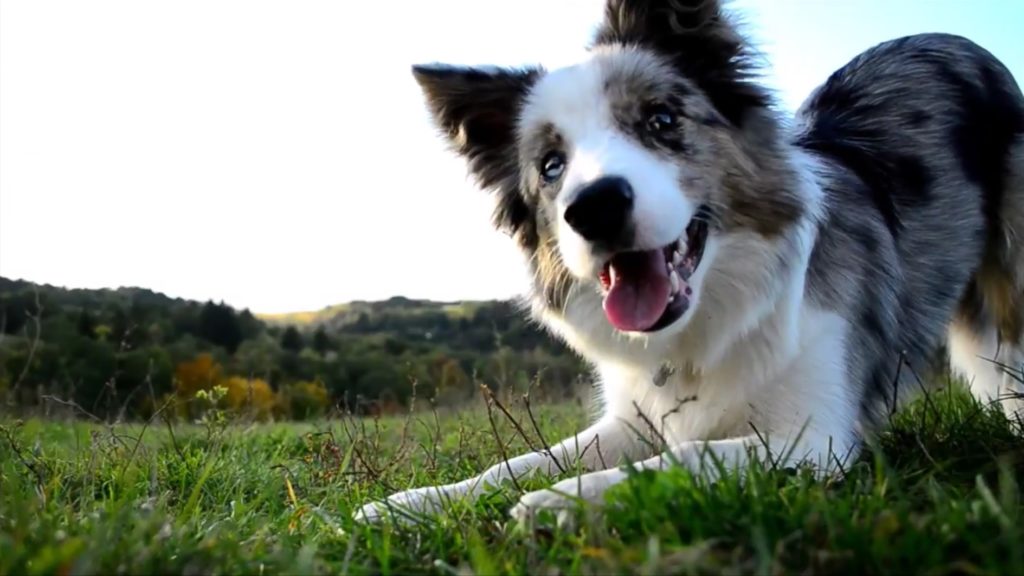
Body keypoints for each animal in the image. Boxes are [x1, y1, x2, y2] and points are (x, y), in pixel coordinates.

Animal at [354, 0, 1024, 522]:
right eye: (551, 165)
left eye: (661, 119)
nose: (593, 208)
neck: (705, 327)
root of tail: (953, 37)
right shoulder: (631, 422)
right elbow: (520, 461)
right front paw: (409, 504)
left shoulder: (814, 439)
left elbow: (682, 456)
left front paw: (559, 502)